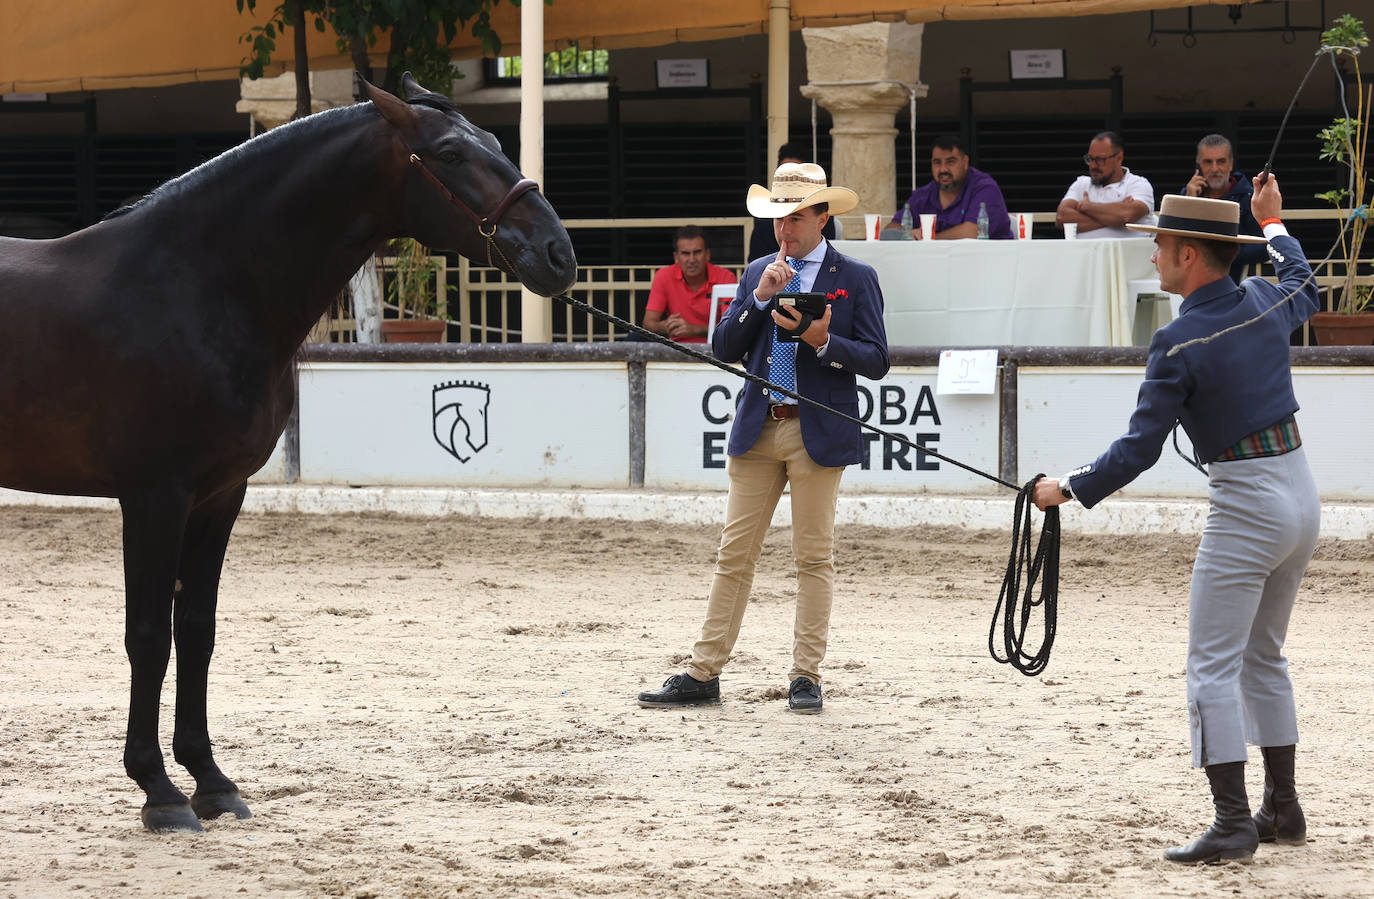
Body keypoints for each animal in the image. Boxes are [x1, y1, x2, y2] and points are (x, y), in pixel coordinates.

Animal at [0, 73, 574, 835]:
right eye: (450, 153)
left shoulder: (219, 495)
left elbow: (199, 632)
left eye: (498, 142)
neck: (198, 286)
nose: (558, 253)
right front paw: (158, 790)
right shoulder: (154, 496)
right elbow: (149, 635)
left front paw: (211, 780)